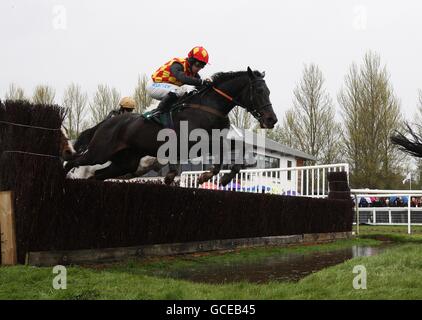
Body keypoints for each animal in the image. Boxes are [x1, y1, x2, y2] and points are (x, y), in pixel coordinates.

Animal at [64, 68, 278, 185]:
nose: (271, 120)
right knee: (73, 162)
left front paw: (222, 178)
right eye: (259, 90)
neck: (209, 106)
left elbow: (236, 148)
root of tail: (105, 123)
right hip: (99, 152)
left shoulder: (216, 139)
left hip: (125, 161)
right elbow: (218, 154)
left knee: (97, 175)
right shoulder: (195, 143)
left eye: (269, 91)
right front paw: (204, 176)